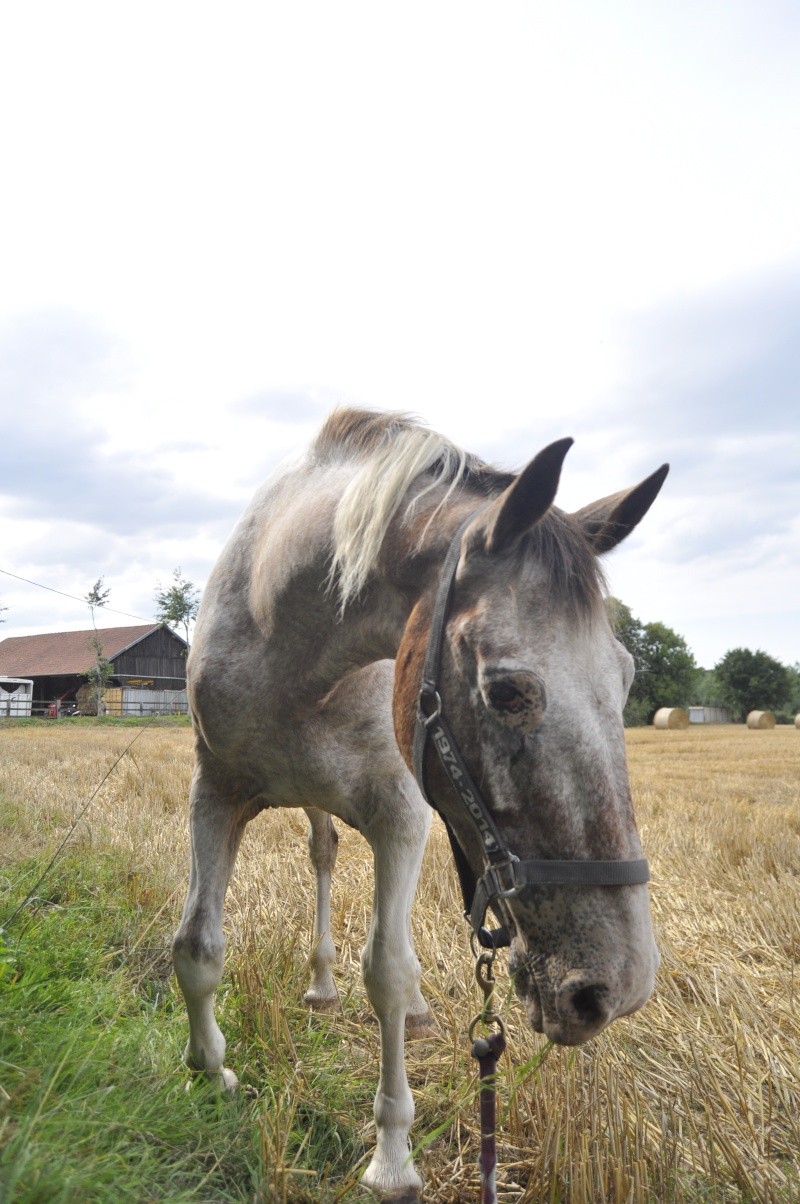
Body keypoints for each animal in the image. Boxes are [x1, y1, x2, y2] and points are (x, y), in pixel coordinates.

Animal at [174, 409, 669, 1199]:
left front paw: (392, 1158)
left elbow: (387, 969)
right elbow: (196, 945)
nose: (615, 989)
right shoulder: (214, 792)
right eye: (507, 690)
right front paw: (210, 1074)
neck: (289, 645)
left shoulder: (399, 820)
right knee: (321, 857)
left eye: (625, 679)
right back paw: (320, 986)